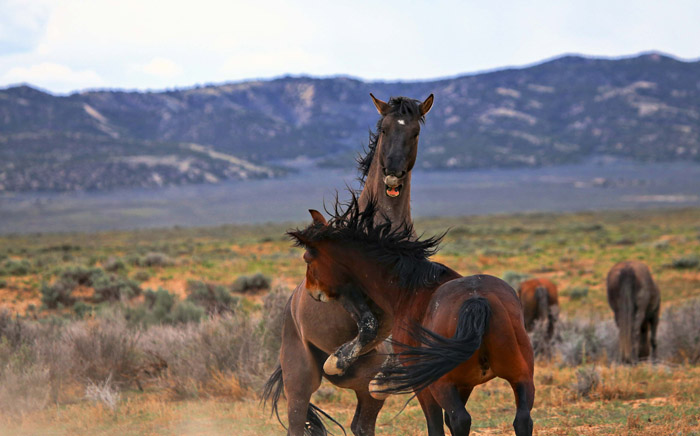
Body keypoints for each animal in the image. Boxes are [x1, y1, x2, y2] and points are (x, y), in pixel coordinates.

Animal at [262, 94, 432, 436]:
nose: (393, 174)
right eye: (384, 128)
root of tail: (290, 307)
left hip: (363, 390)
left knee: (361, 423)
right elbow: (369, 324)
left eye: (415, 133)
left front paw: (386, 373)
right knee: (297, 419)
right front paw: (336, 360)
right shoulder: (343, 291)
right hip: (299, 378)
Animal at [290, 198, 536, 436]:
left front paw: (336, 362)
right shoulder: (465, 384)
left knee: (460, 420)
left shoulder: (425, 385)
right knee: (522, 420)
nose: (312, 292)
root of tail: (477, 302)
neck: (410, 290)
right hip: (521, 377)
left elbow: (436, 425)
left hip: (442, 384)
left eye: (308, 259)